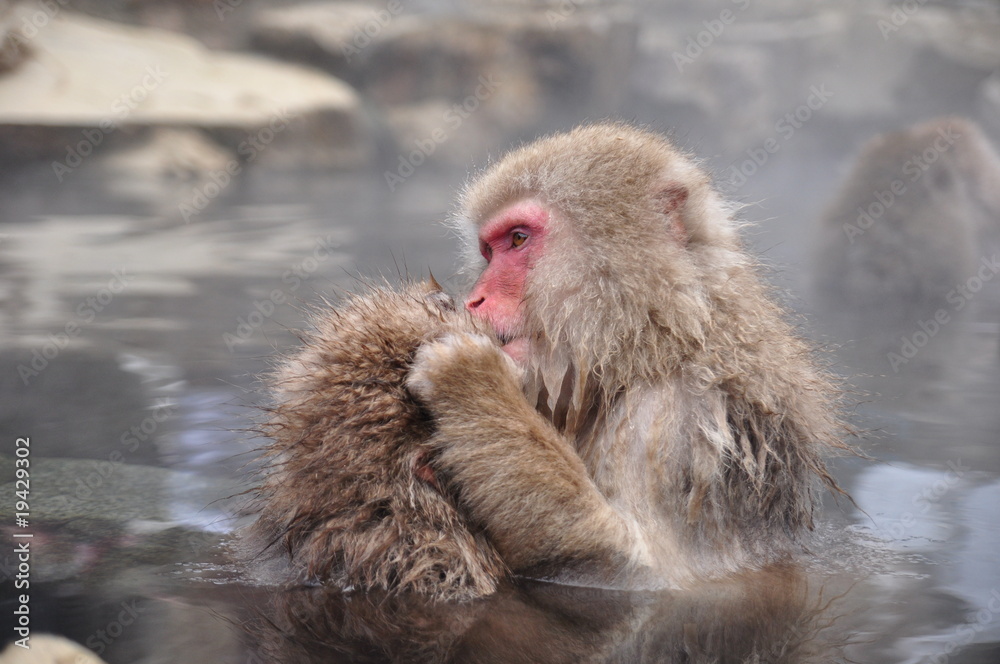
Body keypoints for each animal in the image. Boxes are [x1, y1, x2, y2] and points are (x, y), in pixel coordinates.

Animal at [404, 122, 844, 588]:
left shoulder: (673, 420)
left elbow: (639, 570)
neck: (654, 345)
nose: (474, 300)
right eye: (488, 252)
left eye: (518, 239)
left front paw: (470, 379)